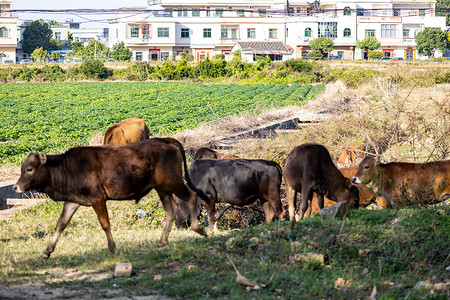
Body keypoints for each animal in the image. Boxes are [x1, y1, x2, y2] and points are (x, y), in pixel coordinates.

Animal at [12, 138, 209, 258]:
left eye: (29, 169)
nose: (16, 187)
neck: (66, 168)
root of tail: (164, 140)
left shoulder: (97, 198)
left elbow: (105, 223)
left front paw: (112, 247)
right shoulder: (72, 200)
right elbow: (61, 224)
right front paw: (47, 251)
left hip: (172, 182)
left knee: (191, 196)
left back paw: (198, 228)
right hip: (162, 188)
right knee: (171, 211)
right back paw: (162, 241)